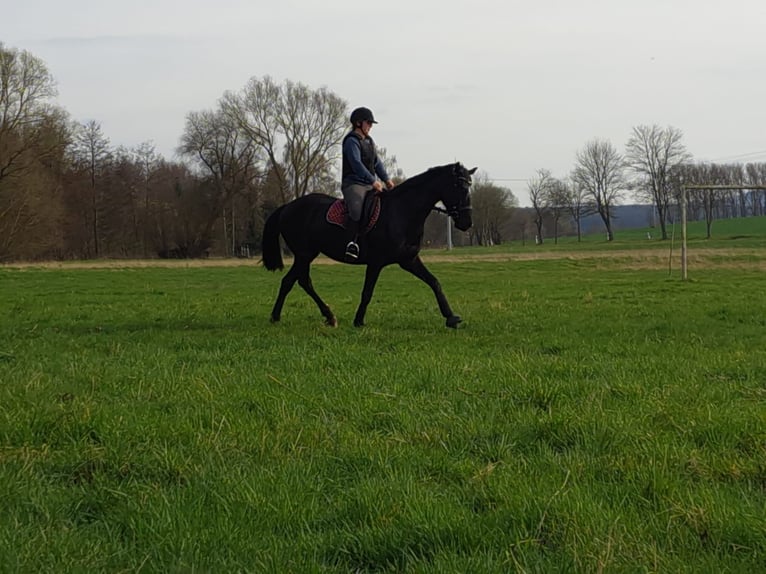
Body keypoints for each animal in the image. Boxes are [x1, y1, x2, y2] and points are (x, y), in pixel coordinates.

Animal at [268, 164, 476, 330]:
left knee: (296, 281)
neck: (401, 212)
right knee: (294, 281)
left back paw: (315, 316)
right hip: (304, 254)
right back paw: (285, 316)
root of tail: (287, 207)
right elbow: (367, 292)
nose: (467, 223)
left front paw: (451, 317)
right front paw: (359, 321)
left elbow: (434, 282)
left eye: (469, 186)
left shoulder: (408, 260)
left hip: (305, 255)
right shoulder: (376, 262)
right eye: (459, 186)